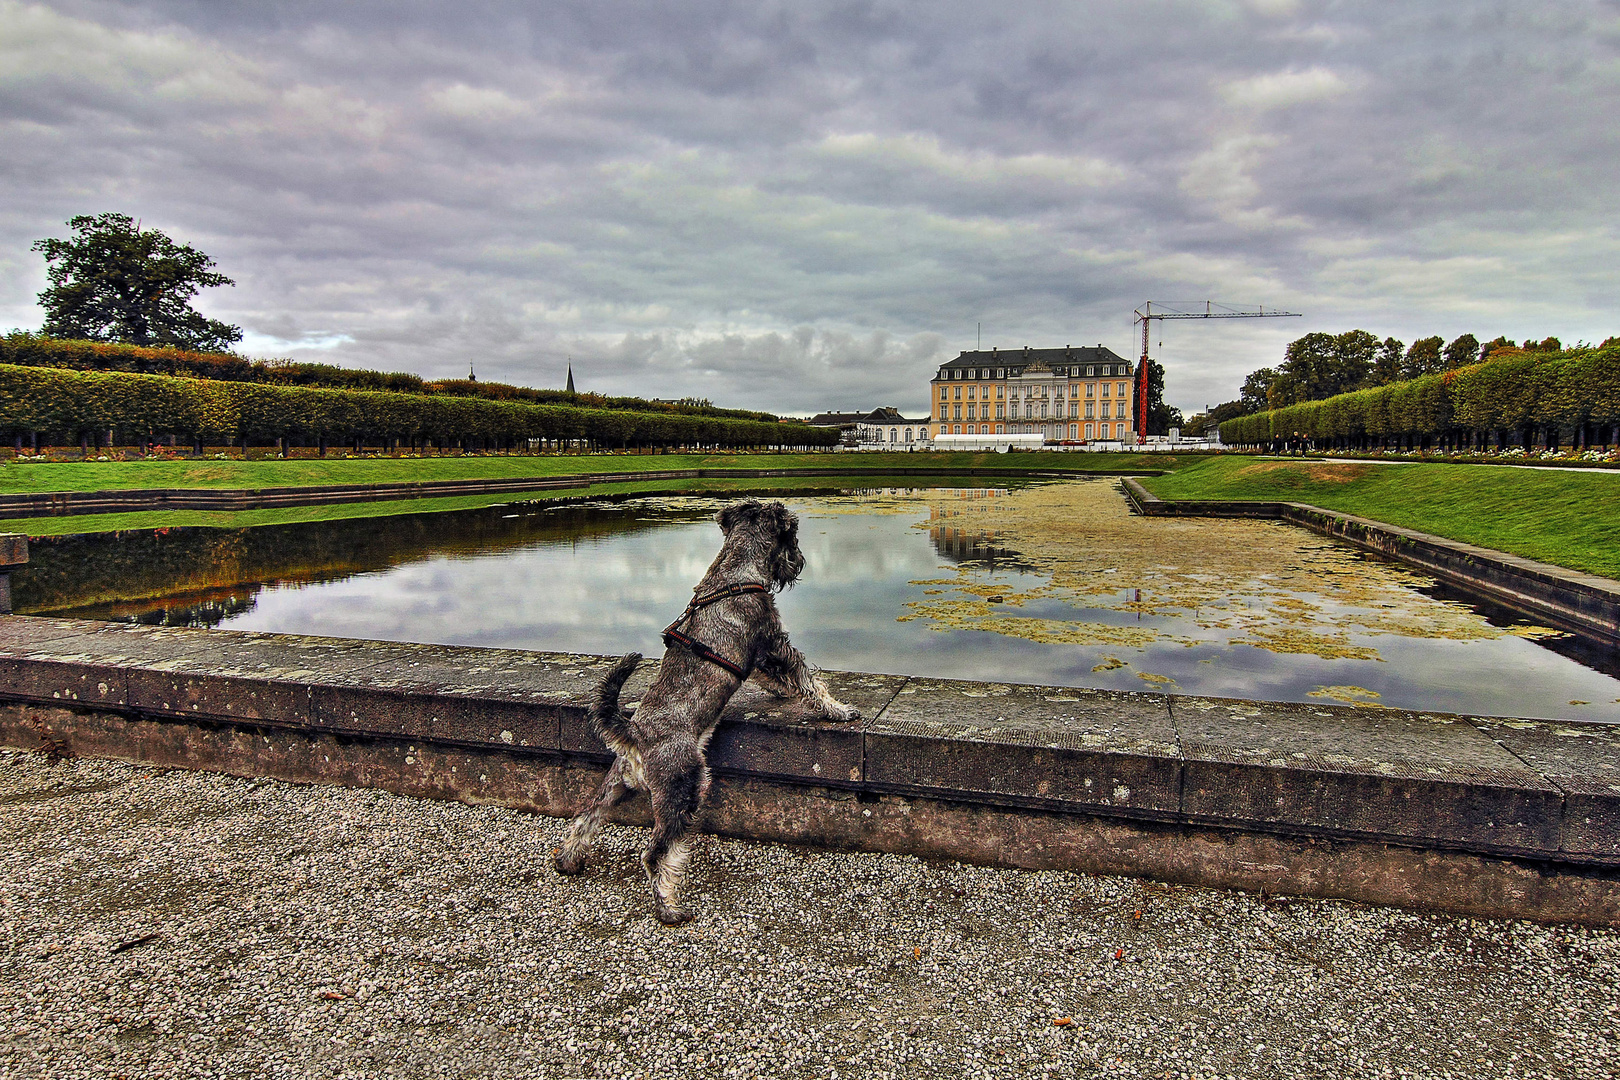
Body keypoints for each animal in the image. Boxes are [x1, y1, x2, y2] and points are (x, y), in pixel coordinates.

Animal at [554, 495, 861, 926]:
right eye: (793, 534)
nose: (799, 561)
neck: (734, 570)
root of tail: (634, 736)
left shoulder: (758, 656)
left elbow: (774, 678)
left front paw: (785, 695)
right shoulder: (774, 642)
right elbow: (807, 679)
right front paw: (839, 709)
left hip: (613, 785)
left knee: (585, 819)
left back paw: (568, 861)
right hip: (683, 788)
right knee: (657, 853)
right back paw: (670, 907)